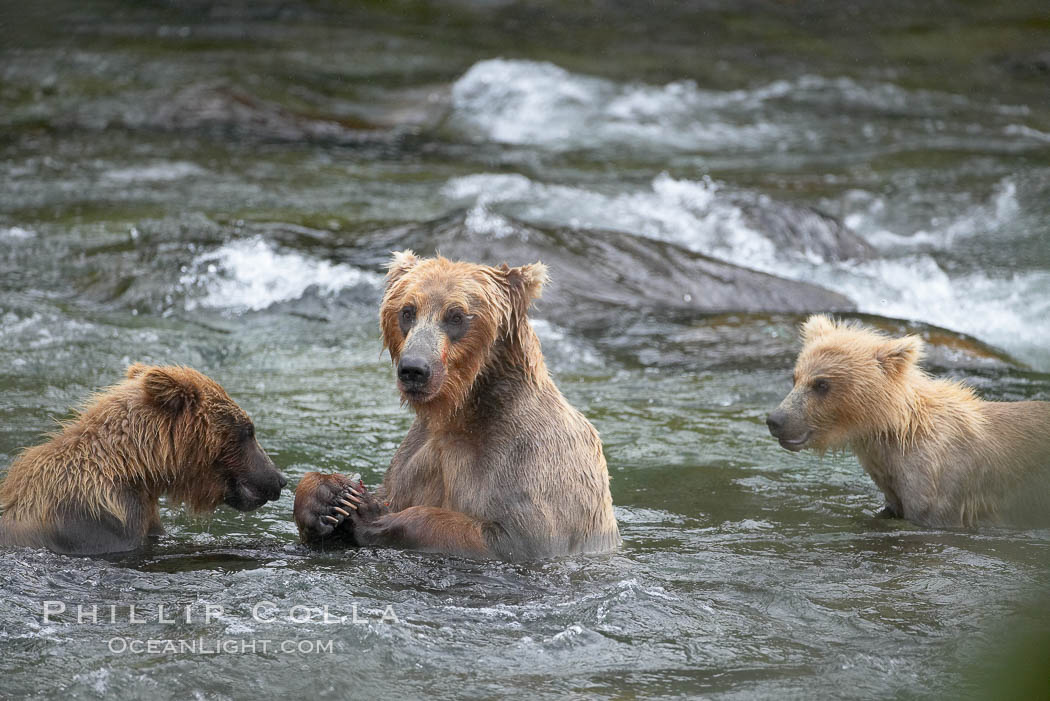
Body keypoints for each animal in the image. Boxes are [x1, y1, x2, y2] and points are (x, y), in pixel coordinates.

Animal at [294, 251, 621, 558]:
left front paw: (371, 514)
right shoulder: (418, 452)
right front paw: (331, 496)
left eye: (456, 316)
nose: (414, 369)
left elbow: (511, 535)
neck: (461, 410)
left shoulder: (531, 460)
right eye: (407, 311)